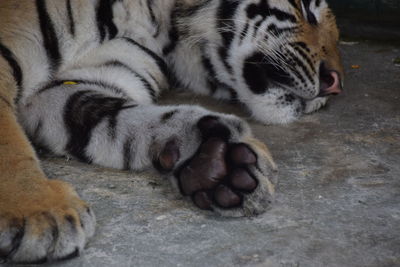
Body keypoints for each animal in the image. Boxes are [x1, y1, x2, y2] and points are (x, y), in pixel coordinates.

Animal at [0, 0, 344, 264]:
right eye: (305, 10)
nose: (336, 83)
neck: (158, 22)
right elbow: (10, 143)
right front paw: (40, 211)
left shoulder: (68, 86)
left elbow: (121, 121)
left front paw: (218, 163)